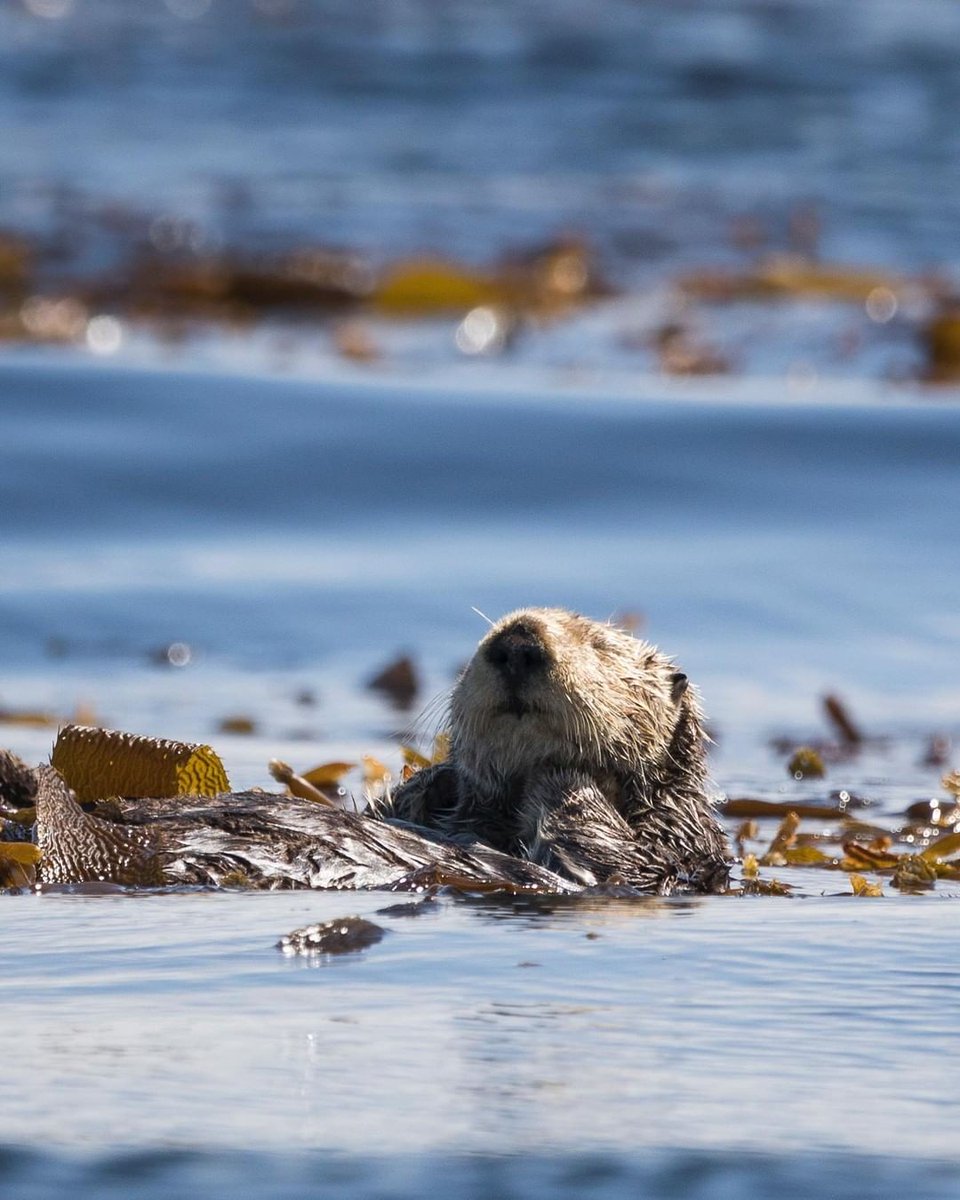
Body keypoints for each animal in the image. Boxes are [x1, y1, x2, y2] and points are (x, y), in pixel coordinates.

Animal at [380, 608, 730, 893]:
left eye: (601, 647)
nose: (517, 644)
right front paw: (431, 781)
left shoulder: (676, 855)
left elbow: (615, 862)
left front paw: (564, 777)